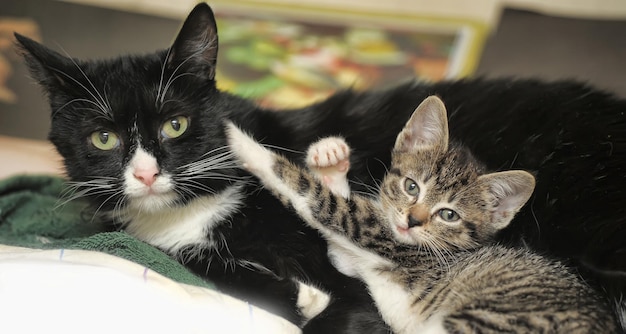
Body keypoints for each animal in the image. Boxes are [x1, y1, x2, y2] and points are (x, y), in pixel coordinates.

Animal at [227, 95, 616, 332]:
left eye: (449, 215)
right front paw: (331, 160)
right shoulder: (359, 253)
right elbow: (337, 248)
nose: (412, 220)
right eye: (411, 186)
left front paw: (238, 140)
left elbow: (310, 194)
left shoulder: (373, 233)